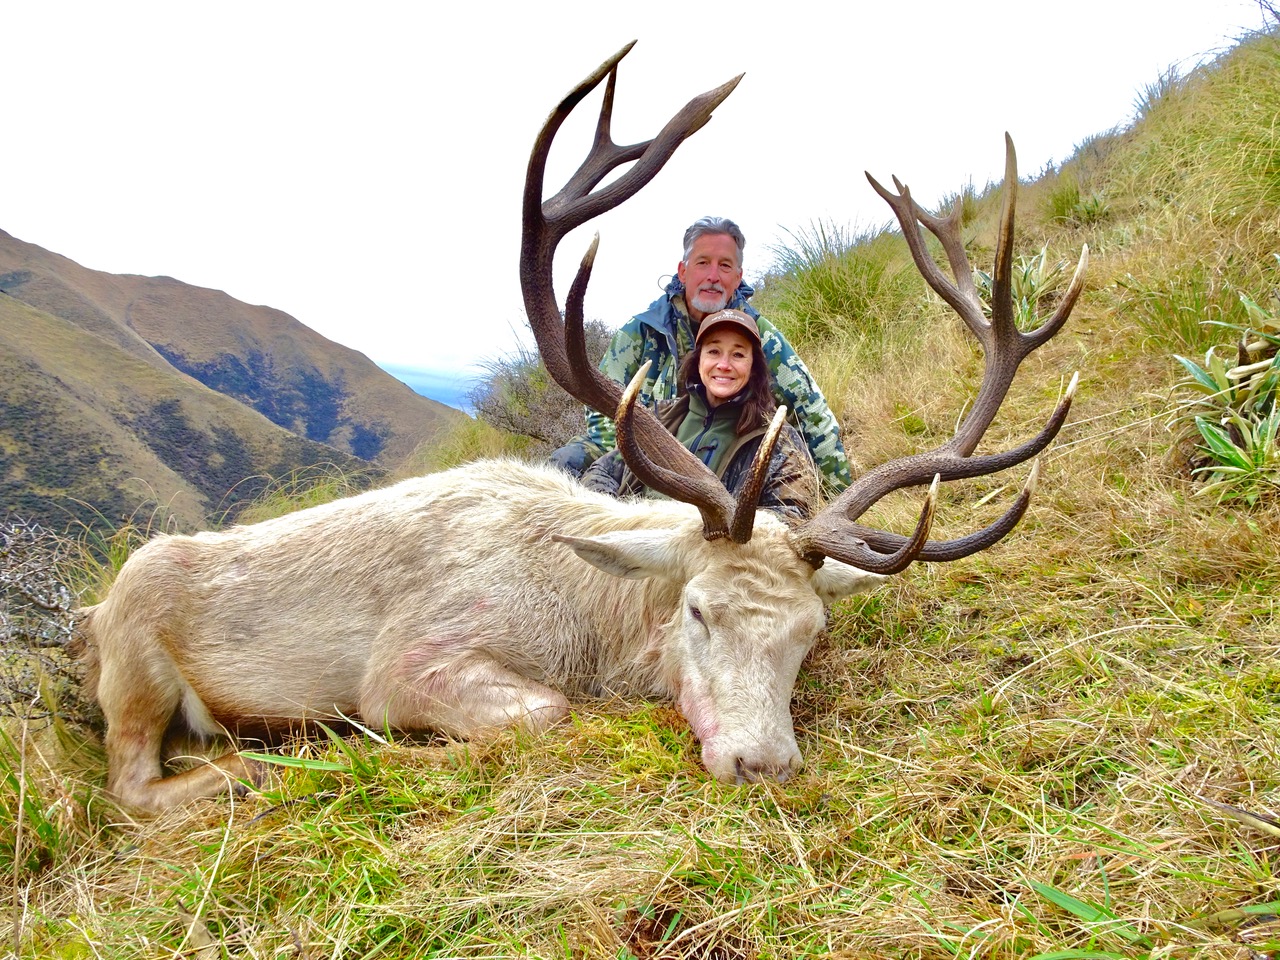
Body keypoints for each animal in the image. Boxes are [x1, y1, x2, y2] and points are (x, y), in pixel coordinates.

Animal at [75, 42, 1084, 814]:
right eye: (697, 609)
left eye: (809, 633)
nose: (763, 764)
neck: (589, 618)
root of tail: (91, 612)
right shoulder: (408, 661)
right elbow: (544, 712)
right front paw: (370, 747)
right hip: (134, 663)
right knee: (130, 784)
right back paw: (256, 765)